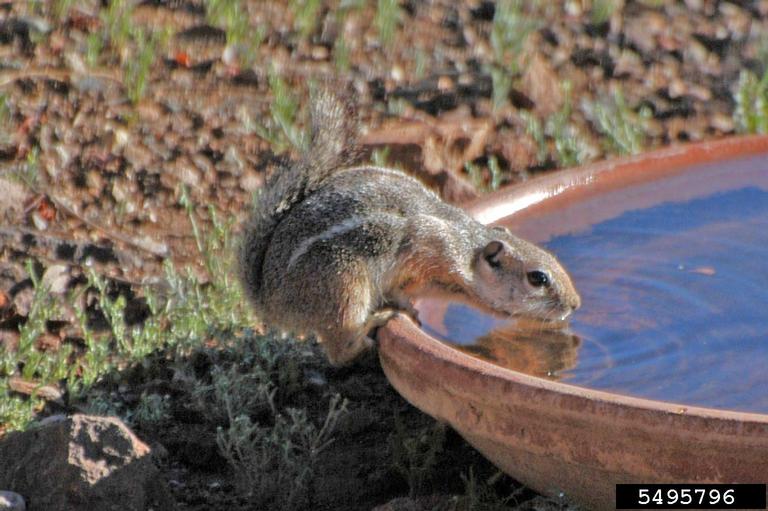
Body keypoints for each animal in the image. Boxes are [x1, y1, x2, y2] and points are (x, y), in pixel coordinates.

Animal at [239, 87, 581, 366]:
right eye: (538, 278)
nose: (575, 304)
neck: (462, 251)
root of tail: (270, 301)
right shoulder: (422, 252)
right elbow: (398, 288)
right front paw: (405, 308)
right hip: (344, 287)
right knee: (340, 349)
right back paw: (373, 325)